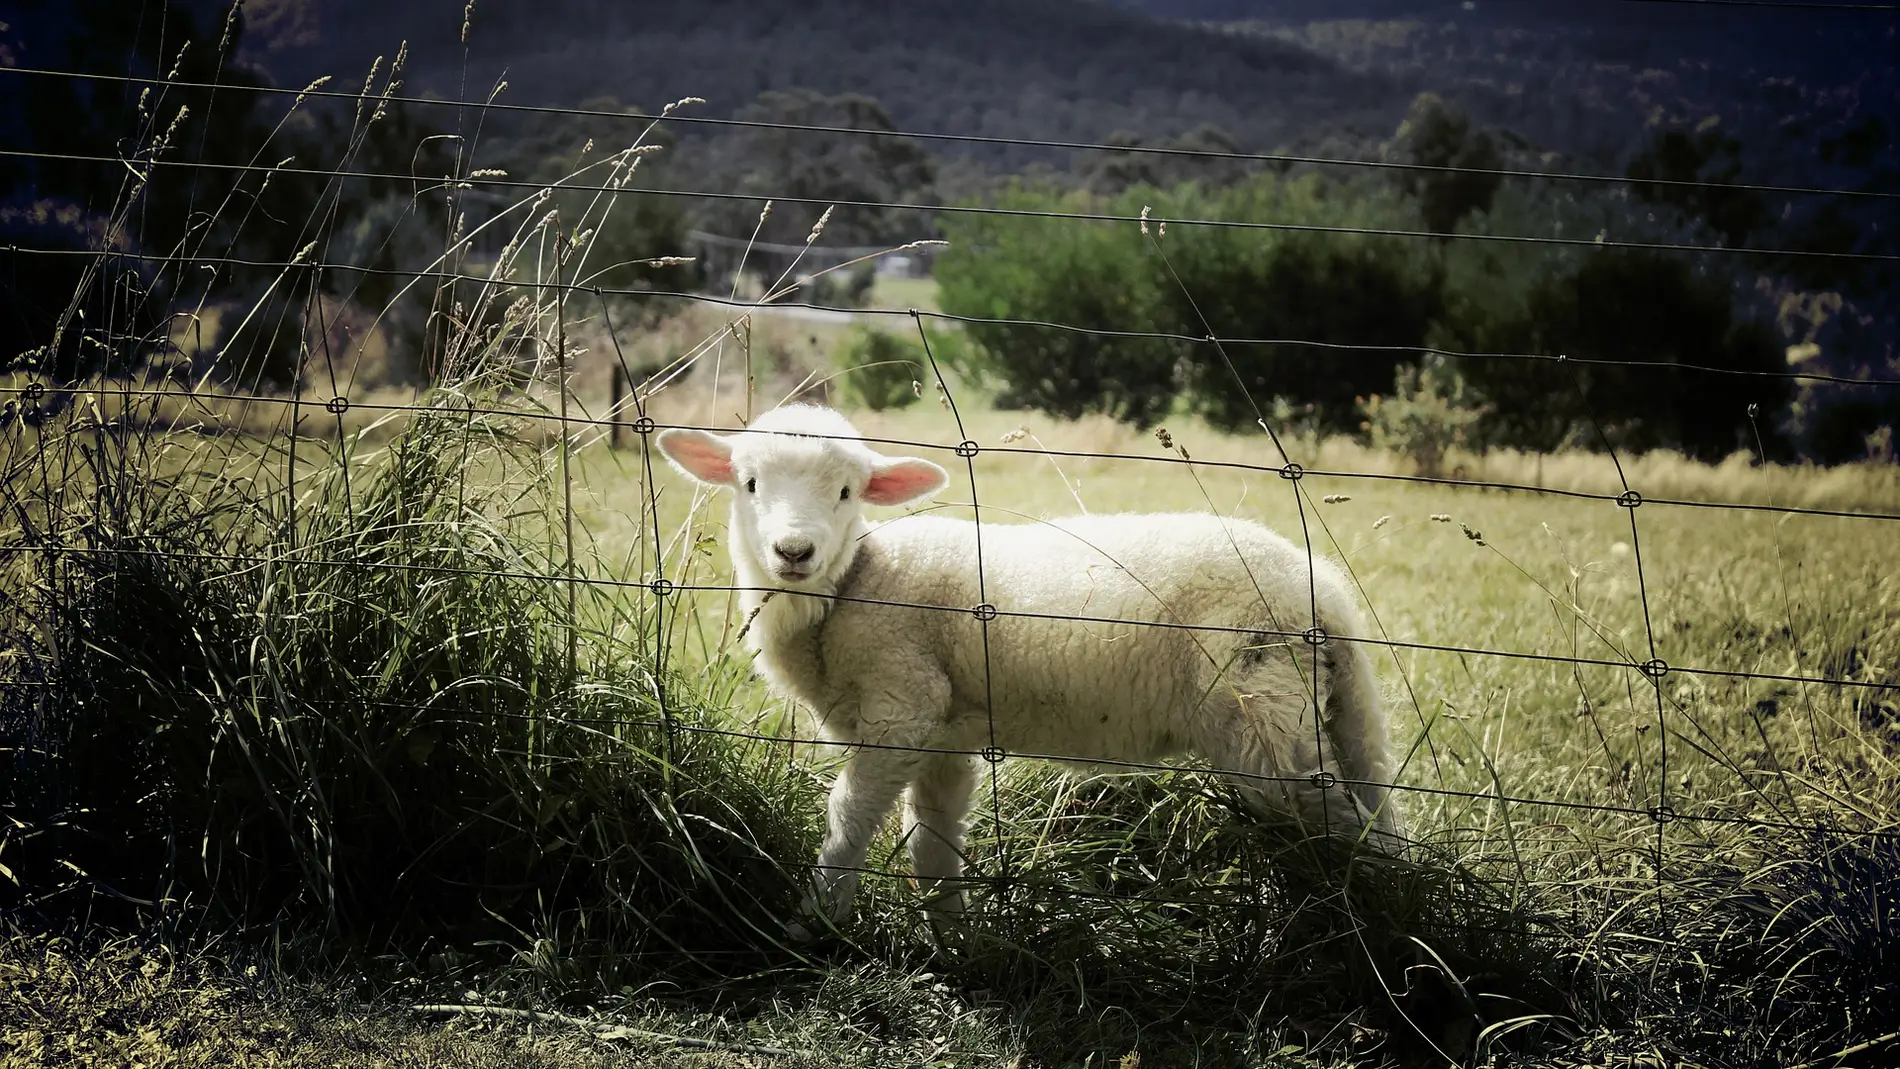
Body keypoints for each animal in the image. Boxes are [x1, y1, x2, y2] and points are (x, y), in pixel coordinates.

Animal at [661, 402, 1406, 937]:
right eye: (748, 484)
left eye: (847, 492)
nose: (794, 551)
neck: (850, 586)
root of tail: (1319, 590)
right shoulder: (944, 734)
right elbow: (933, 836)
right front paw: (953, 939)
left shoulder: (903, 704)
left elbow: (850, 818)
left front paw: (811, 924)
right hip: (1328, 708)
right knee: (1375, 807)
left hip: (1259, 716)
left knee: (1339, 822)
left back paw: (1376, 925)